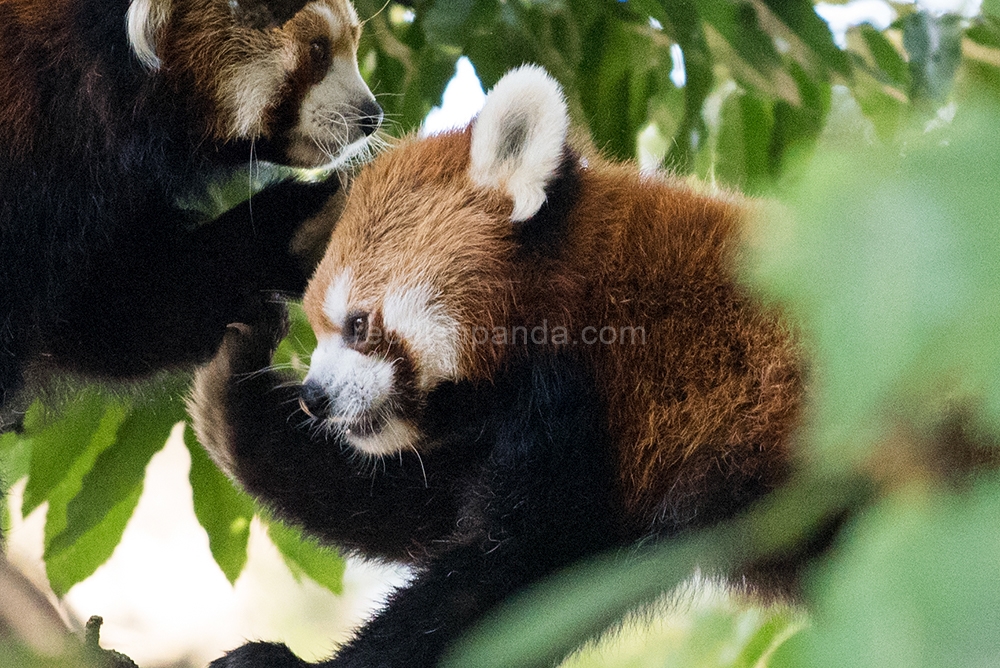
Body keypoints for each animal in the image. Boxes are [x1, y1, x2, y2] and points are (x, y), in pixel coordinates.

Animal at [191, 64, 808, 668]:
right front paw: (235, 390)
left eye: (358, 325)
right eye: (319, 330)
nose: (314, 398)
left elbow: (517, 571)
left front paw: (283, 661)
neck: (575, 288)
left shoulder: (608, 395)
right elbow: (421, 505)